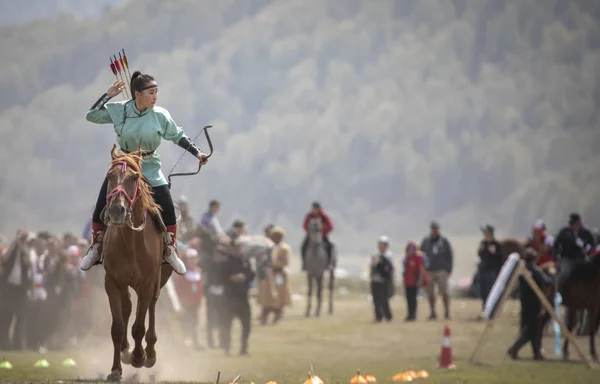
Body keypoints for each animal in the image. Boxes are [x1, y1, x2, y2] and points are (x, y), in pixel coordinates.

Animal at [102, 146, 172, 382]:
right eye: (109, 176)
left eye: (134, 177)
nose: (117, 210)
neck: (132, 242)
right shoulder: (113, 282)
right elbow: (117, 327)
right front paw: (116, 369)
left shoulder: (147, 283)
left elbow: (139, 326)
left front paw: (139, 357)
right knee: (127, 308)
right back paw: (126, 351)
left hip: (160, 279)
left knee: (151, 306)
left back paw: (149, 353)